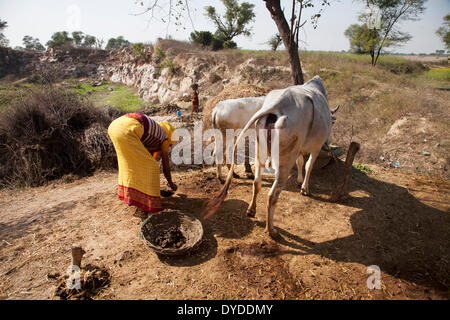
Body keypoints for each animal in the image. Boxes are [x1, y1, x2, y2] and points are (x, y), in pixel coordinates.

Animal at [204, 76, 334, 238]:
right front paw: (304, 187)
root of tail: (218, 107)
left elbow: (300, 162)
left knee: (226, 157)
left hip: (226, 136)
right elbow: (308, 165)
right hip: (228, 136)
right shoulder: (314, 148)